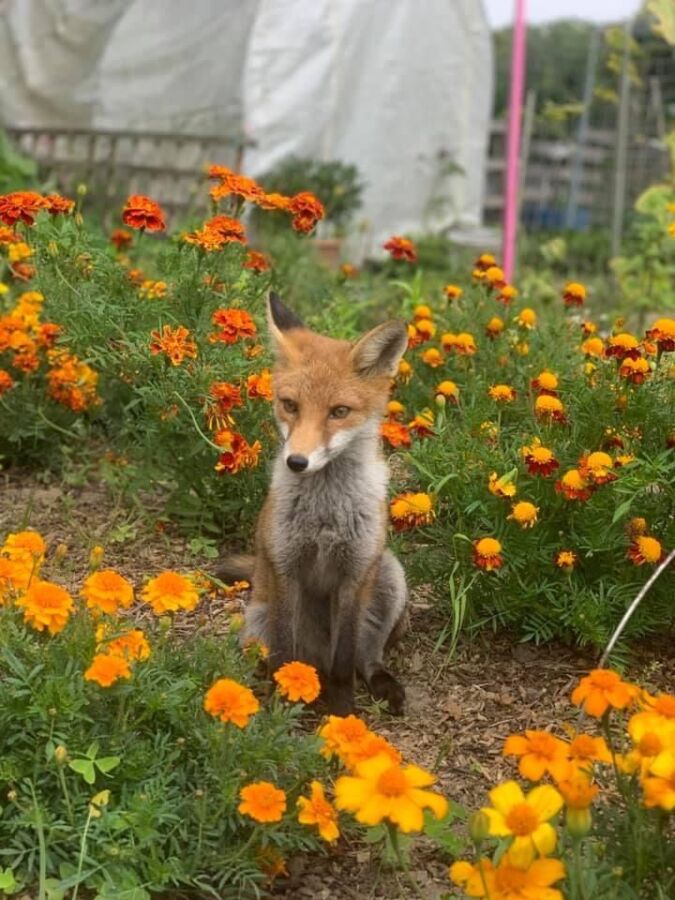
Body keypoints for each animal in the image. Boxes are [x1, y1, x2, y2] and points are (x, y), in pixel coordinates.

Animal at [218, 292, 410, 716]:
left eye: (339, 412)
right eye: (290, 405)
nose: (297, 462)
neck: (325, 517)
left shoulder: (354, 574)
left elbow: (344, 662)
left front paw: (342, 714)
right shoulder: (286, 567)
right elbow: (284, 653)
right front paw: (281, 705)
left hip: (389, 575)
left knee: (365, 659)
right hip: (256, 620)